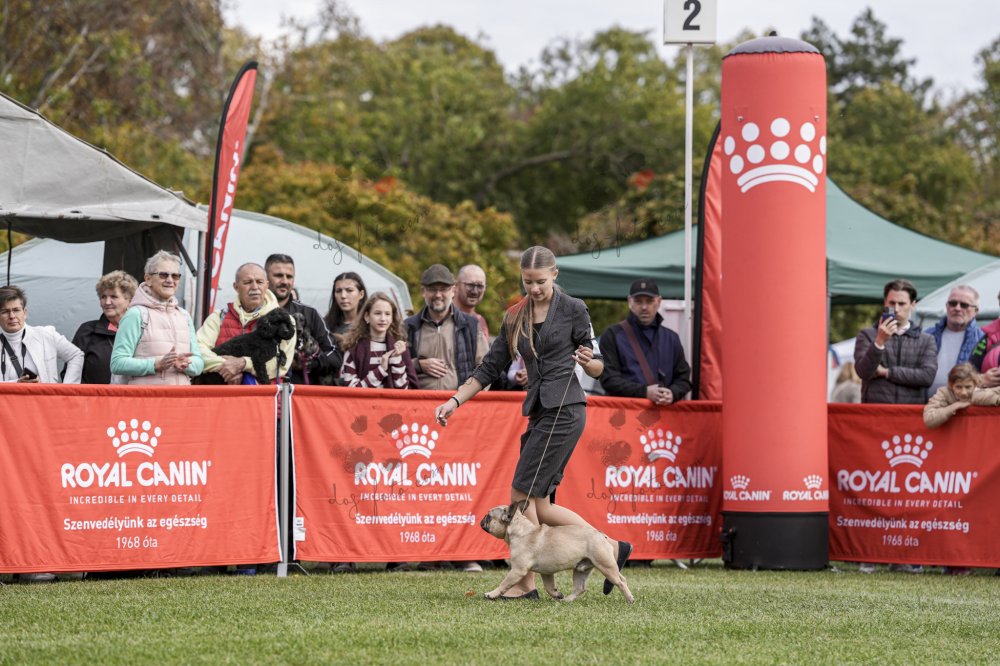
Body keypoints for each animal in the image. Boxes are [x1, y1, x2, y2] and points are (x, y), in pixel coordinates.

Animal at [480, 502, 635, 603]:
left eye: (489, 516)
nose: (482, 519)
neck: (520, 530)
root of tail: (600, 535)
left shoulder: (518, 569)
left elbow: (504, 583)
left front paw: (492, 594)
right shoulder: (546, 572)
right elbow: (549, 587)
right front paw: (557, 594)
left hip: (605, 565)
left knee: (621, 581)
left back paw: (629, 599)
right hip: (581, 569)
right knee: (580, 588)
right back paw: (566, 600)